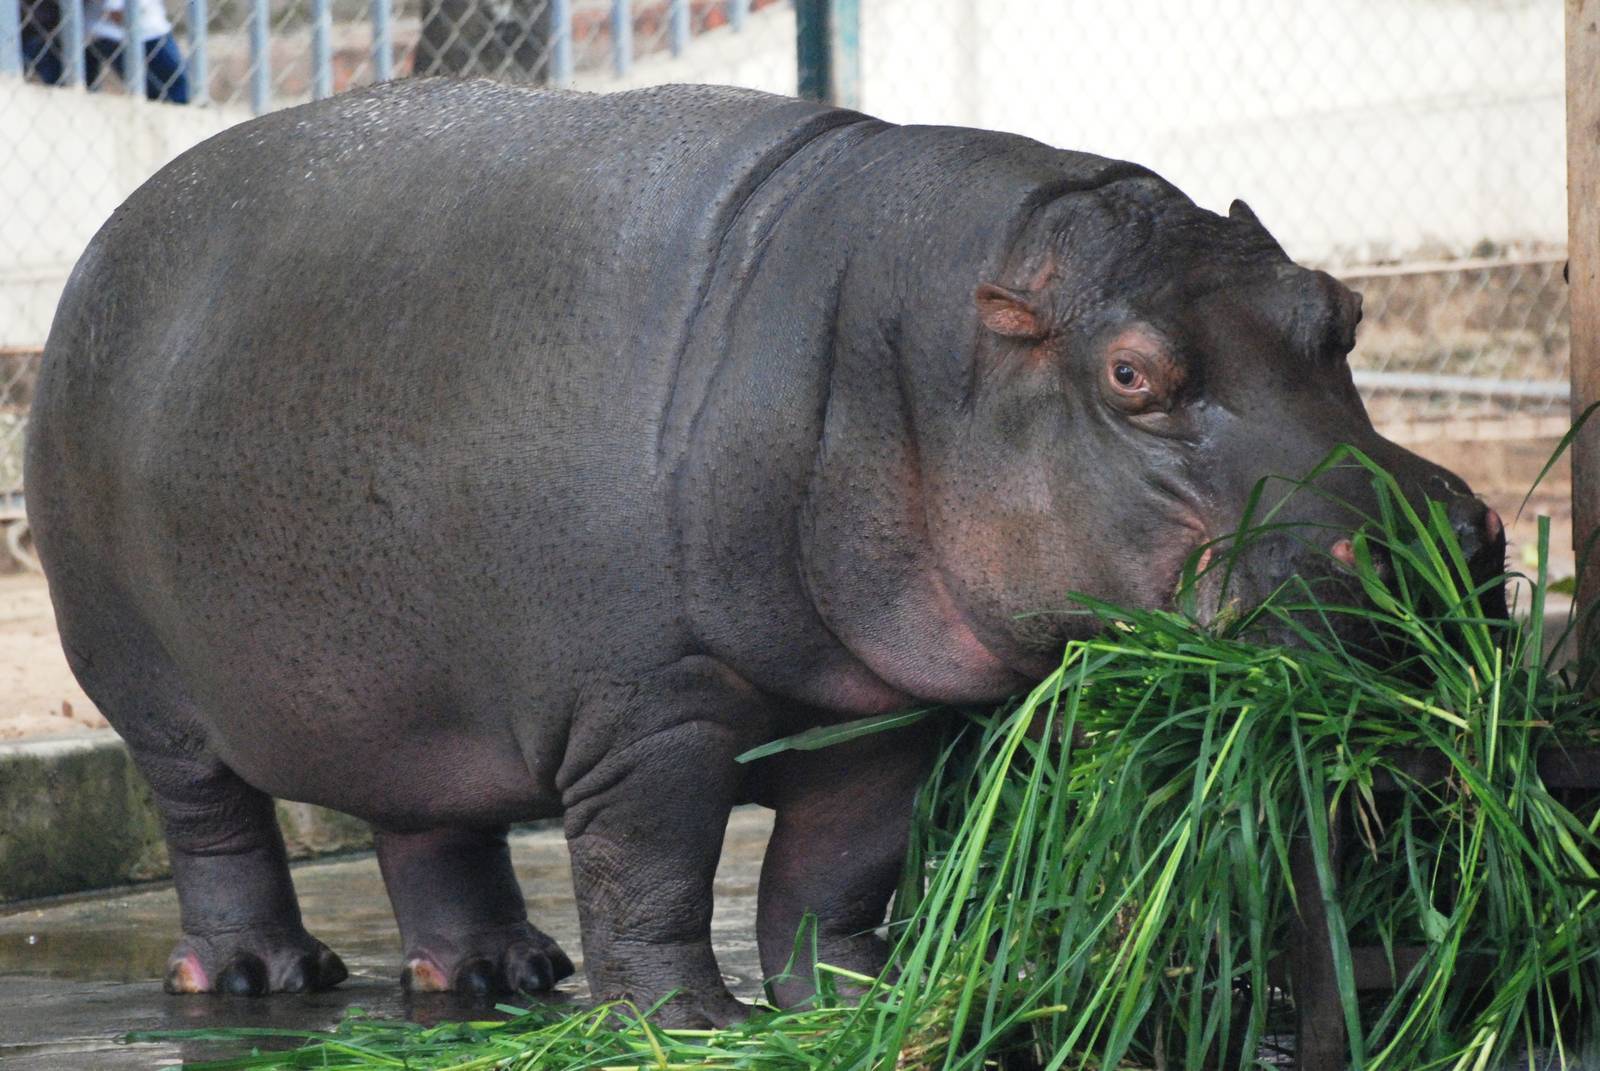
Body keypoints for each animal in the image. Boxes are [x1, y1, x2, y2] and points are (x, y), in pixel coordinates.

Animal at [24, 79, 1504, 1027]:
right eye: (1132, 373)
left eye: (1340, 309)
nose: (1437, 539)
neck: (904, 360)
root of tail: (109, 240)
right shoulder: (650, 711)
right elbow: (652, 866)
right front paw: (685, 1022)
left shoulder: (885, 704)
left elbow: (836, 864)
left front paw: (857, 995)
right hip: (151, 689)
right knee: (215, 823)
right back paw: (258, 980)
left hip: (411, 685)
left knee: (431, 823)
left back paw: (502, 977)